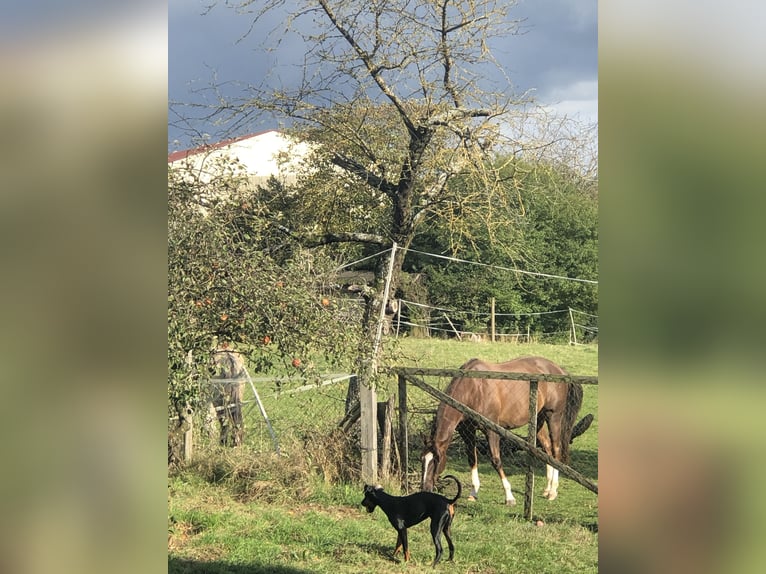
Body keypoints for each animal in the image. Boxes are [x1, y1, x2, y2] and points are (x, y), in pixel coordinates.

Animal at [420, 356, 583, 504]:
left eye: (436, 460)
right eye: (422, 459)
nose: (425, 489)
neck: (473, 389)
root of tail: (560, 370)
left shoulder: (491, 431)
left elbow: (496, 460)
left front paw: (509, 497)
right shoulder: (467, 432)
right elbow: (472, 459)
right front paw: (473, 493)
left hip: (553, 416)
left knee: (556, 450)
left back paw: (553, 491)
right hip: (539, 419)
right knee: (548, 449)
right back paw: (547, 489)